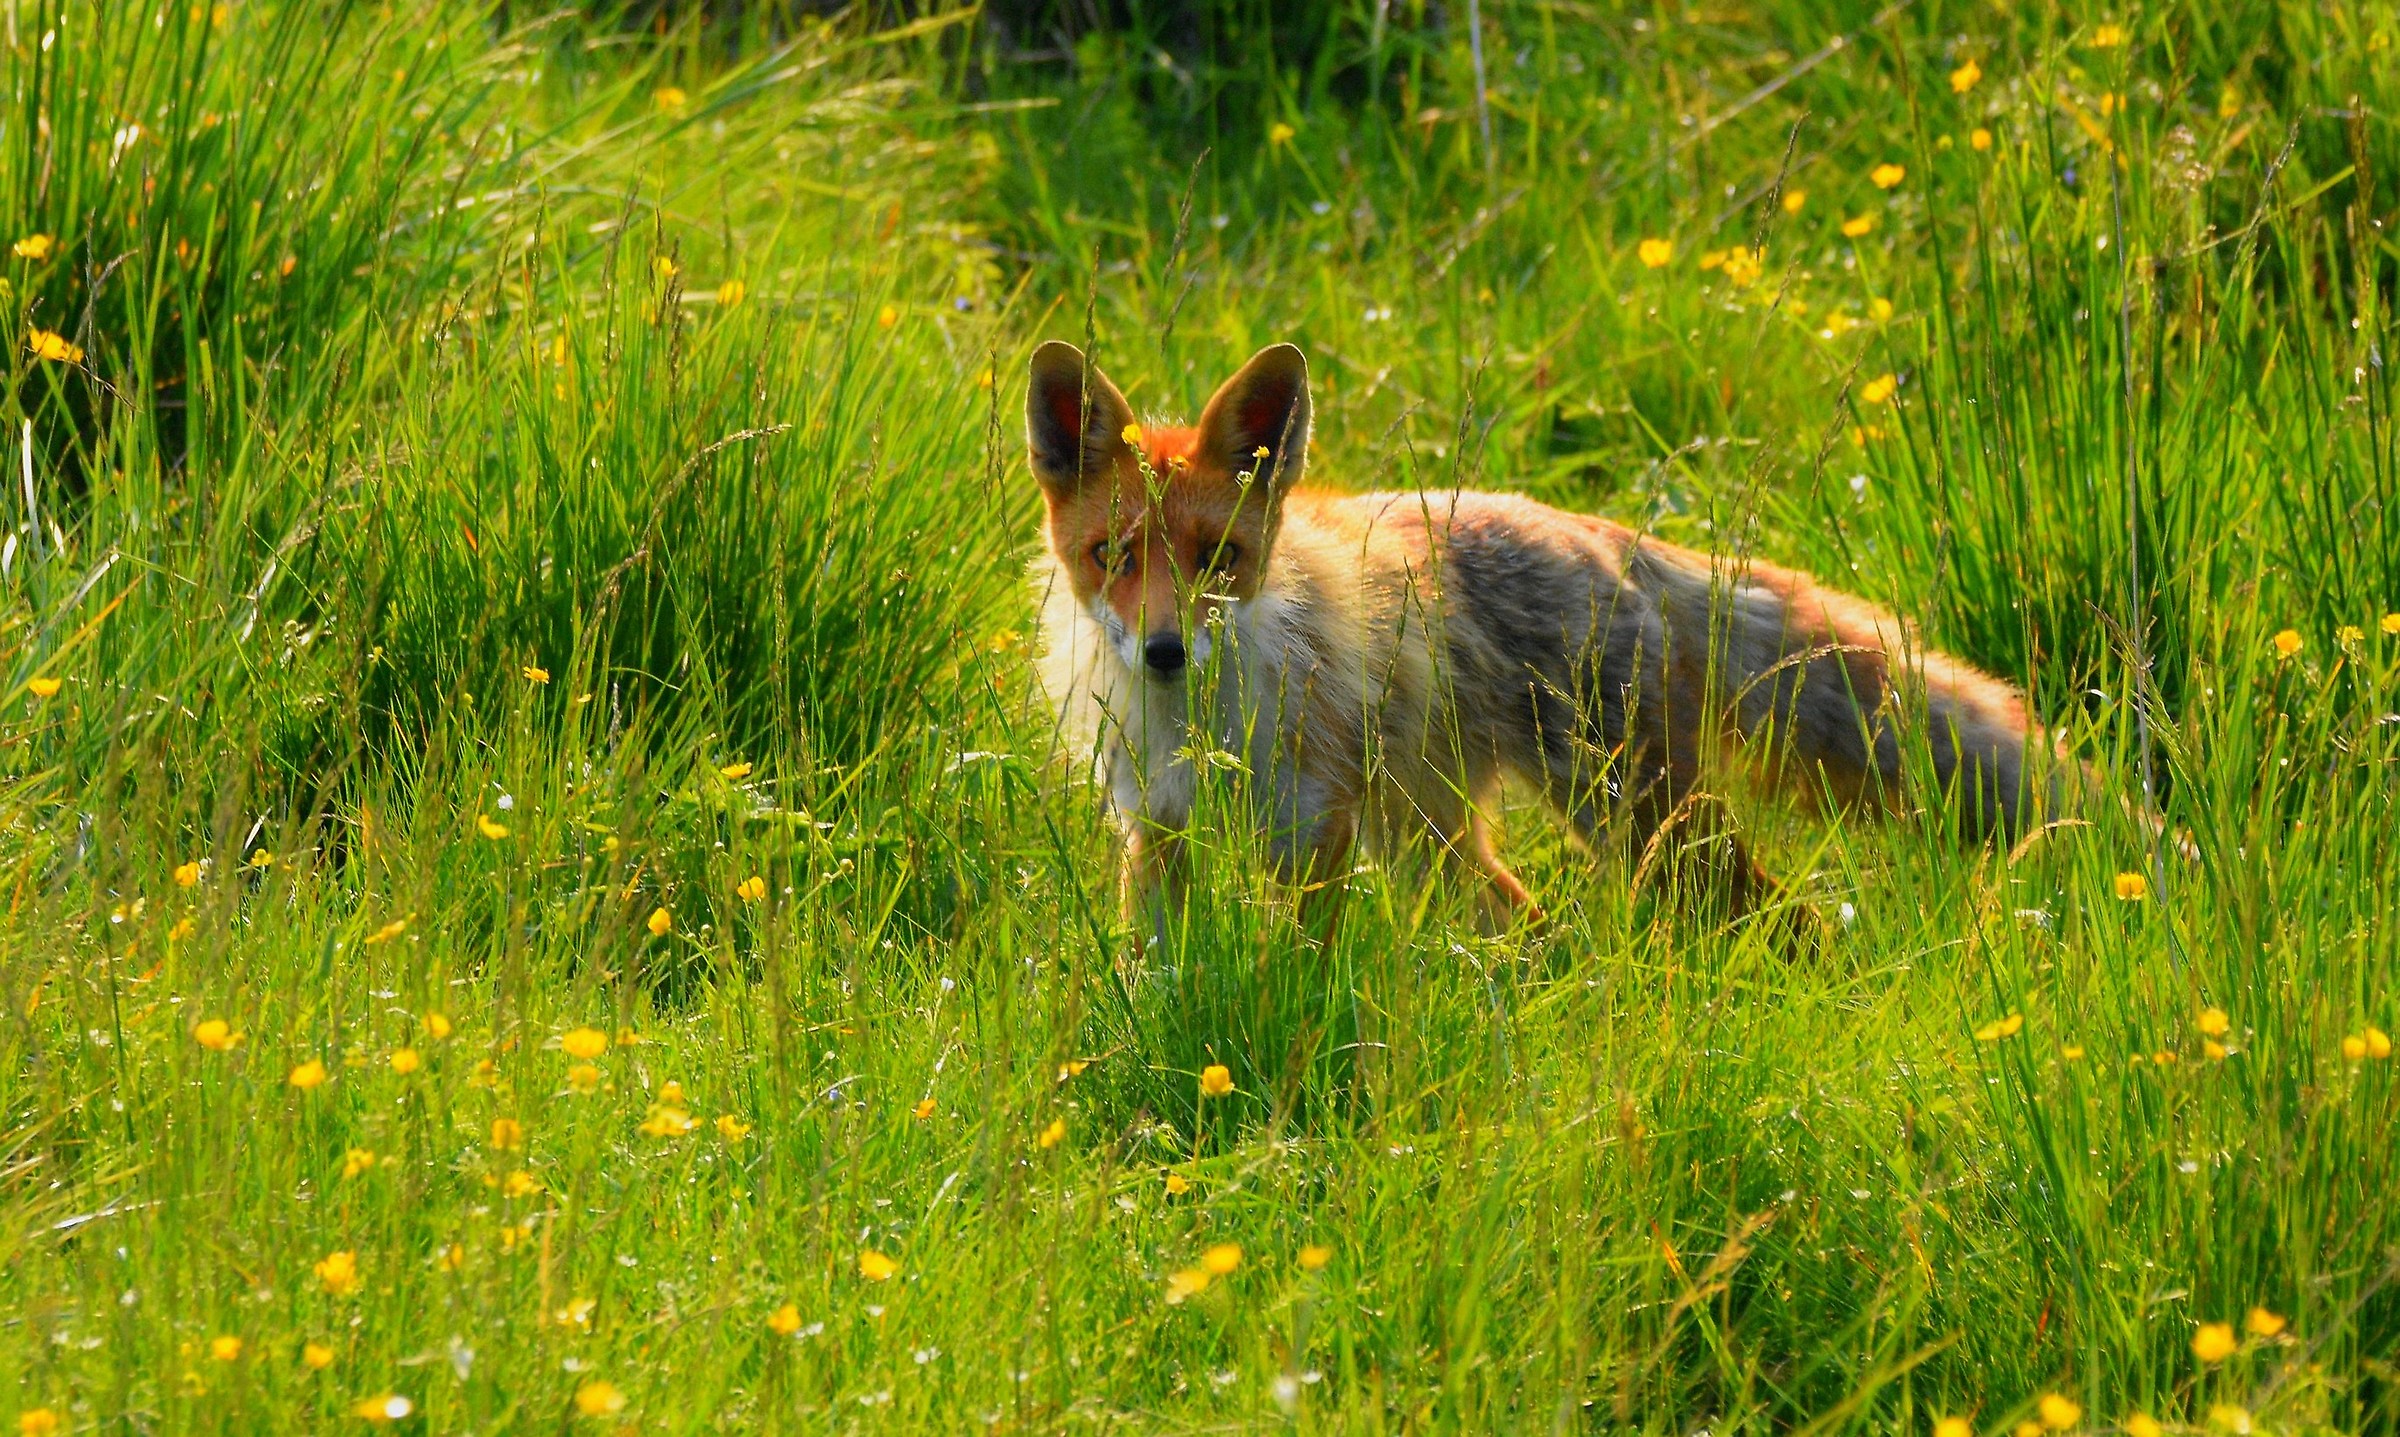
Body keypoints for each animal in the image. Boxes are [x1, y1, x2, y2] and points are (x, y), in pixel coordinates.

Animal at [1027, 339, 2077, 931]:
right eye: (1113, 554)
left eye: (1220, 557)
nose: (1164, 651)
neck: (1199, 722)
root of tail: (1584, 526)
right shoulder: (1154, 827)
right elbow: (1161, 973)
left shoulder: (1311, 828)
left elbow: (1300, 968)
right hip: (1431, 836)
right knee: (1525, 921)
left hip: (1628, 813)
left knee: (1776, 910)